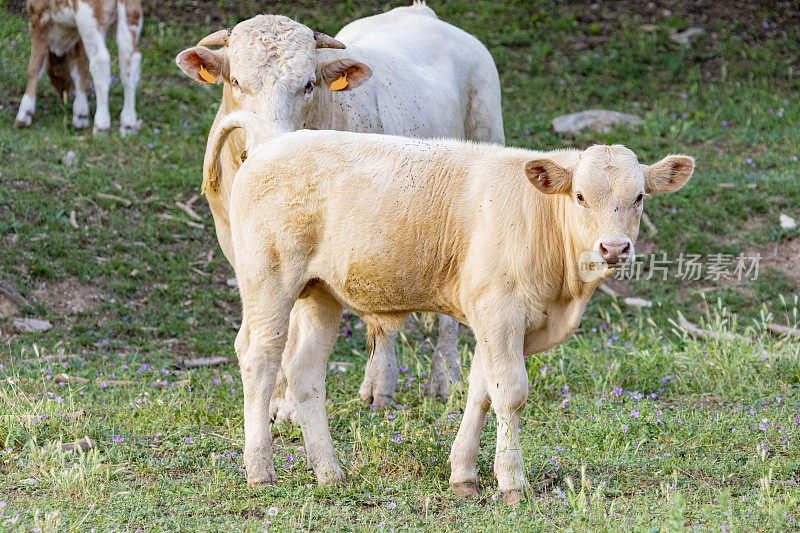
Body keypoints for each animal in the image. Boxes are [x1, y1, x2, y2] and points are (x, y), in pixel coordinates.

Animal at [14, 0, 142, 134]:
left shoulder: (39, 18)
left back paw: (101, 125)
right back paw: (128, 124)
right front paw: (81, 114)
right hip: (130, 15)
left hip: (90, 19)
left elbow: (34, 67)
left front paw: (24, 113)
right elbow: (78, 69)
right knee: (130, 58)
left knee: (101, 60)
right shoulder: (77, 33)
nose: (67, 96)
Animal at [177, 3, 506, 412]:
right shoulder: (245, 247)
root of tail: (422, 13)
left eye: (308, 85)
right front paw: (279, 398)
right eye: (236, 81)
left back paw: (436, 377)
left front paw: (290, 403)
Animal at [208, 112, 700, 502]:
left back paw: (329, 472)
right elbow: (510, 393)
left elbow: (481, 391)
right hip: (268, 281)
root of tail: (275, 140)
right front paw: (512, 482)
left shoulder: (493, 319)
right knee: (259, 359)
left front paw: (464, 475)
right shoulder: (499, 311)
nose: (614, 247)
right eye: (580, 195)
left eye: (639, 196)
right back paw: (261, 471)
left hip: (321, 293)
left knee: (305, 370)